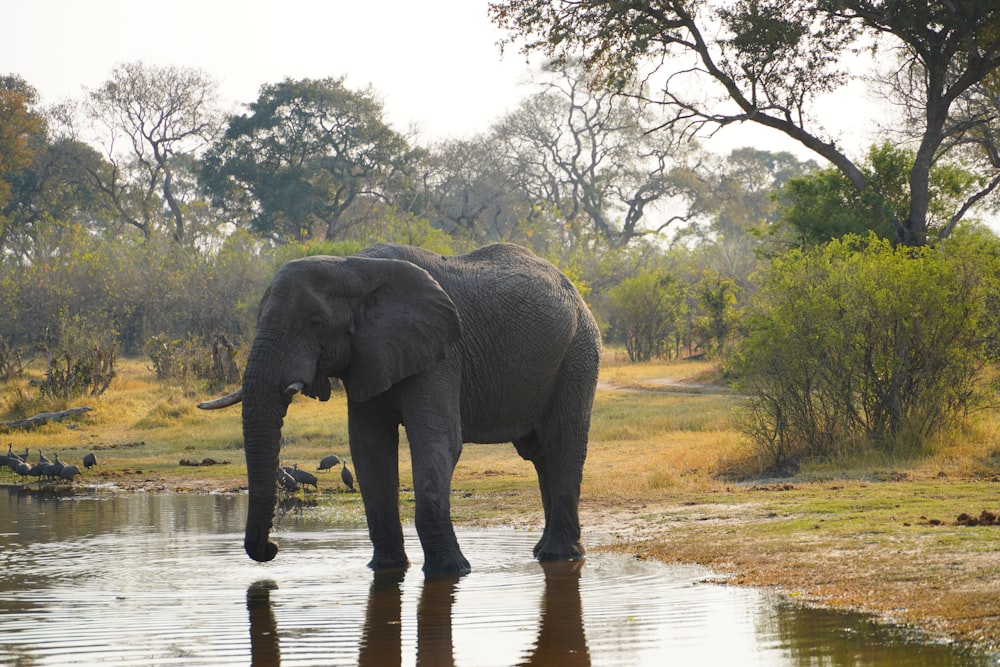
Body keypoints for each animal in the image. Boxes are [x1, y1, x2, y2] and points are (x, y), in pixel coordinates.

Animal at [199, 243, 596, 576]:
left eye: (315, 325)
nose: (272, 548)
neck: (353, 268)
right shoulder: (366, 356)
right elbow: (368, 447)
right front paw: (386, 568)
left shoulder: (441, 354)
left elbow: (437, 442)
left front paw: (451, 572)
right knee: (539, 453)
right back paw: (544, 552)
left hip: (578, 352)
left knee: (561, 443)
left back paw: (559, 556)